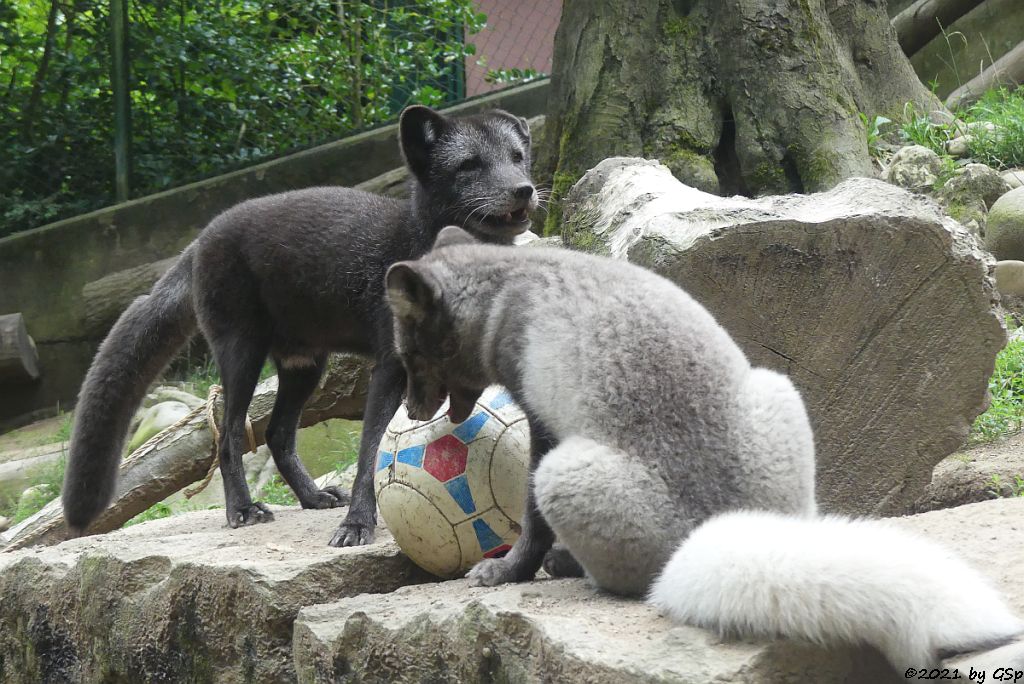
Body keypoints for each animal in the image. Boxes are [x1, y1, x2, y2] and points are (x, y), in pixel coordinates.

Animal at [60, 105, 536, 544]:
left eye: (517, 157)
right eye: (469, 165)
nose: (525, 190)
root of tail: (201, 237)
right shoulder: (389, 366)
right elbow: (371, 450)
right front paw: (357, 524)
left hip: (304, 365)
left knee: (277, 433)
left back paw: (312, 497)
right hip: (242, 353)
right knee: (229, 437)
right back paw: (242, 509)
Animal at [385, 227, 1024, 671]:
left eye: (410, 356)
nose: (413, 412)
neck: (507, 285)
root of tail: (716, 528)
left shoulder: (542, 426)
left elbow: (531, 524)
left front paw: (508, 570)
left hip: (565, 474)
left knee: (627, 579)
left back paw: (575, 568)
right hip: (775, 388)